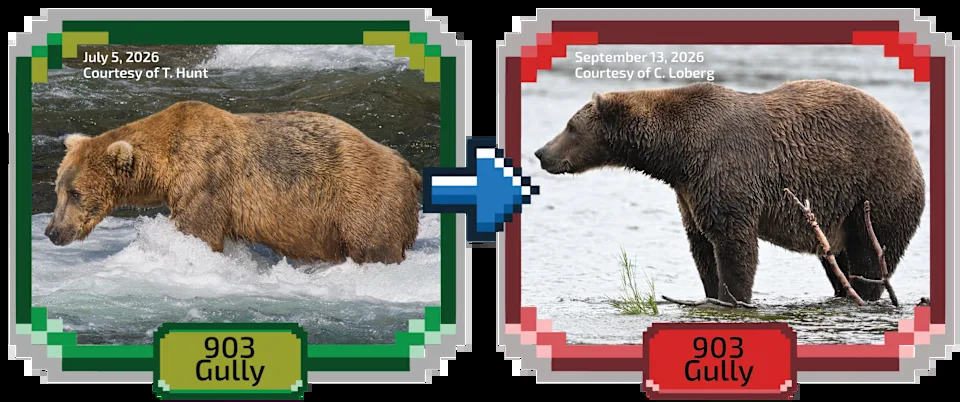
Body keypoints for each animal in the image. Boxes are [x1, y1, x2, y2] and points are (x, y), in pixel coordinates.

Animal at [44, 101, 423, 264]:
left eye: (76, 193)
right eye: (58, 189)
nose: (52, 232)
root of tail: (409, 168)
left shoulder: (205, 178)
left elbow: (198, 229)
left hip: (363, 199)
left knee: (374, 246)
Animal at [534, 80, 925, 303]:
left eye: (570, 126)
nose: (541, 153)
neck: (677, 152)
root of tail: (908, 142)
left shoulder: (726, 171)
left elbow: (733, 244)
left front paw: (734, 296)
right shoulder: (689, 191)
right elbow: (702, 246)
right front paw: (711, 293)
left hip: (875, 191)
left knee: (871, 256)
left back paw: (866, 293)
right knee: (839, 262)